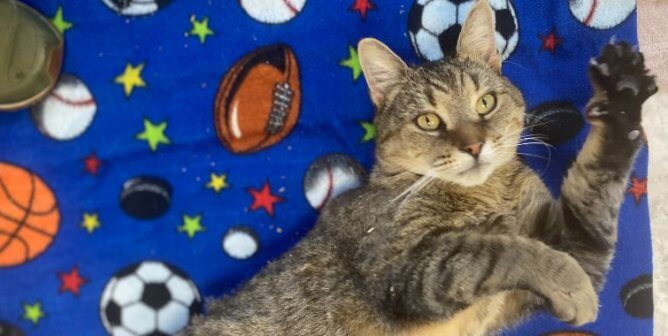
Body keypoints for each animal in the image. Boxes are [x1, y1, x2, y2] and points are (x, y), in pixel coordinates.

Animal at [188, 1, 656, 334]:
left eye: (485, 102)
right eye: (428, 121)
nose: (474, 145)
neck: (486, 194)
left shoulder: (574, 244)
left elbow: (596, 186)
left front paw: (622, 98)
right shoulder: (403, 273)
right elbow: (498, 249)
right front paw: (569, 285)